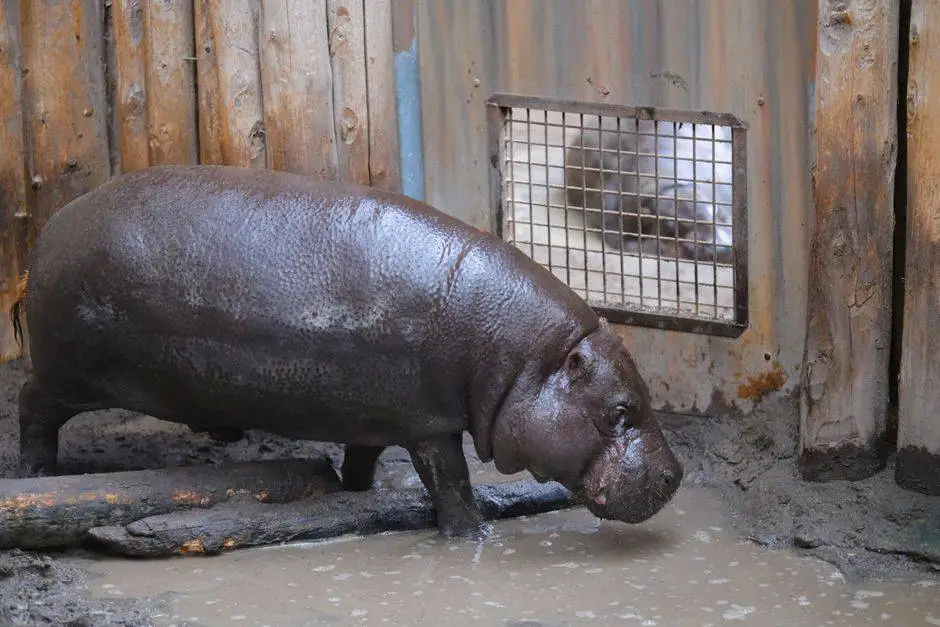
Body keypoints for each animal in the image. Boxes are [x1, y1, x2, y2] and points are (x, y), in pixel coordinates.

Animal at [9, 164, 683, 539]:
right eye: (620, 412)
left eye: (645, 396)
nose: (677, 476)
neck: (522, 359)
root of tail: (52, 229)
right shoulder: (429, 423)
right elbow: (451, 482)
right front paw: (474, 537)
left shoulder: (377, 413)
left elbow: (364, 456)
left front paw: (353, 491)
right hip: (67, 370)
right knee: (31, 404)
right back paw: (38, 473)